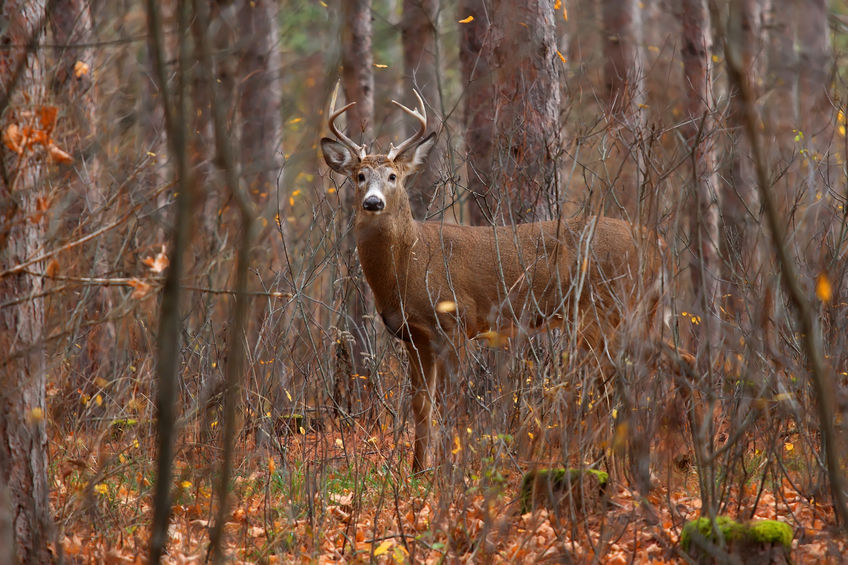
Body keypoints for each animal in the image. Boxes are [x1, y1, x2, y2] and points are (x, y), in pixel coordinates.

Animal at [322, 88, 664, 472]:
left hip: (604, 310)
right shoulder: (414, 337)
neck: (409, 262)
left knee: (613, 382)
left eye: (393, 176)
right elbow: (421, 406)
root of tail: (655, 244)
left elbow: (451, 404)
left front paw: (449, 469)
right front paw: (418, 471)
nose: (373, 202)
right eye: (360, 175)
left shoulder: (455, 323)